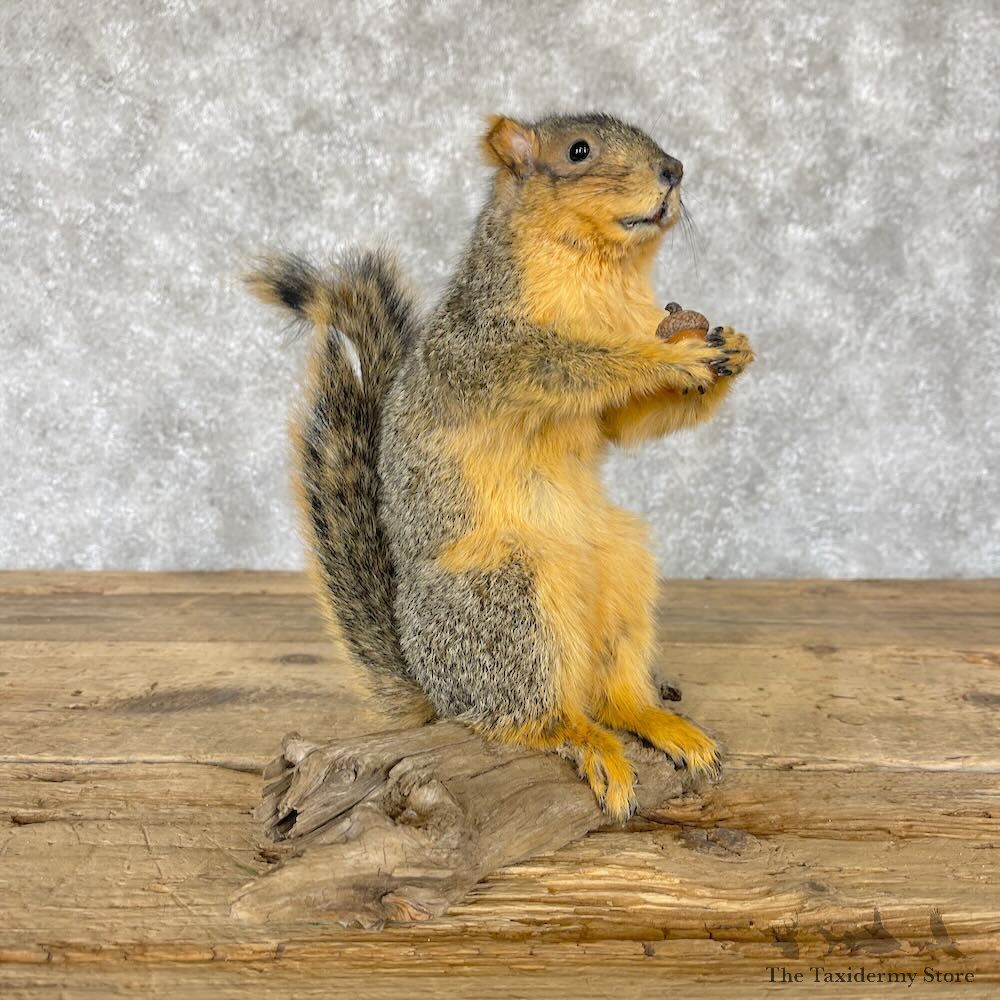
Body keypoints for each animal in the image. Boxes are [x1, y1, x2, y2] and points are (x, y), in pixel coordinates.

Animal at [246, 112, 754, 821]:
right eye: (578, 152)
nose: (674, 171)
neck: (601, 273)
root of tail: (434, 687)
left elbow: (627, 424)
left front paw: (733, 347)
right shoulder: (485, 347)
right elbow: (568, 364)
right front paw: (667, 358)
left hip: (621, 572)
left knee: (611, 692)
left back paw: (653, 720)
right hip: (506, 598)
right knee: (526, 717)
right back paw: (583, 740)